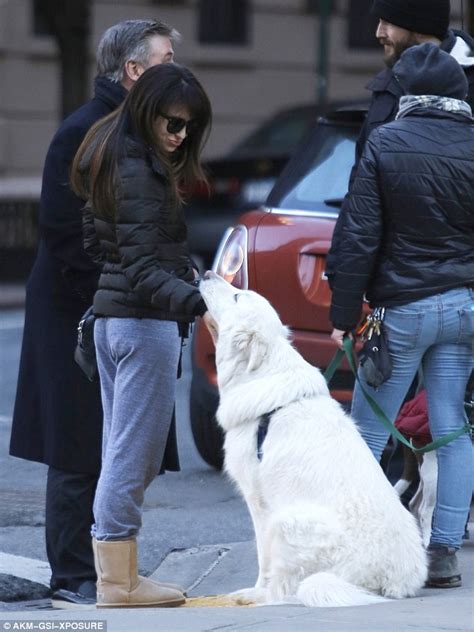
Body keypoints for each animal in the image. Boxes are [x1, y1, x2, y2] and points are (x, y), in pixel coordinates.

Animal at [198, 274, 428, 608]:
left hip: (287, 522)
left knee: (286, 590)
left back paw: (257, 596)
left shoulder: (259, 502)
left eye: (238, 296)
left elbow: (262, 558)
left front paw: (256, 590)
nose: (207, 274)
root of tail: (393, 581)